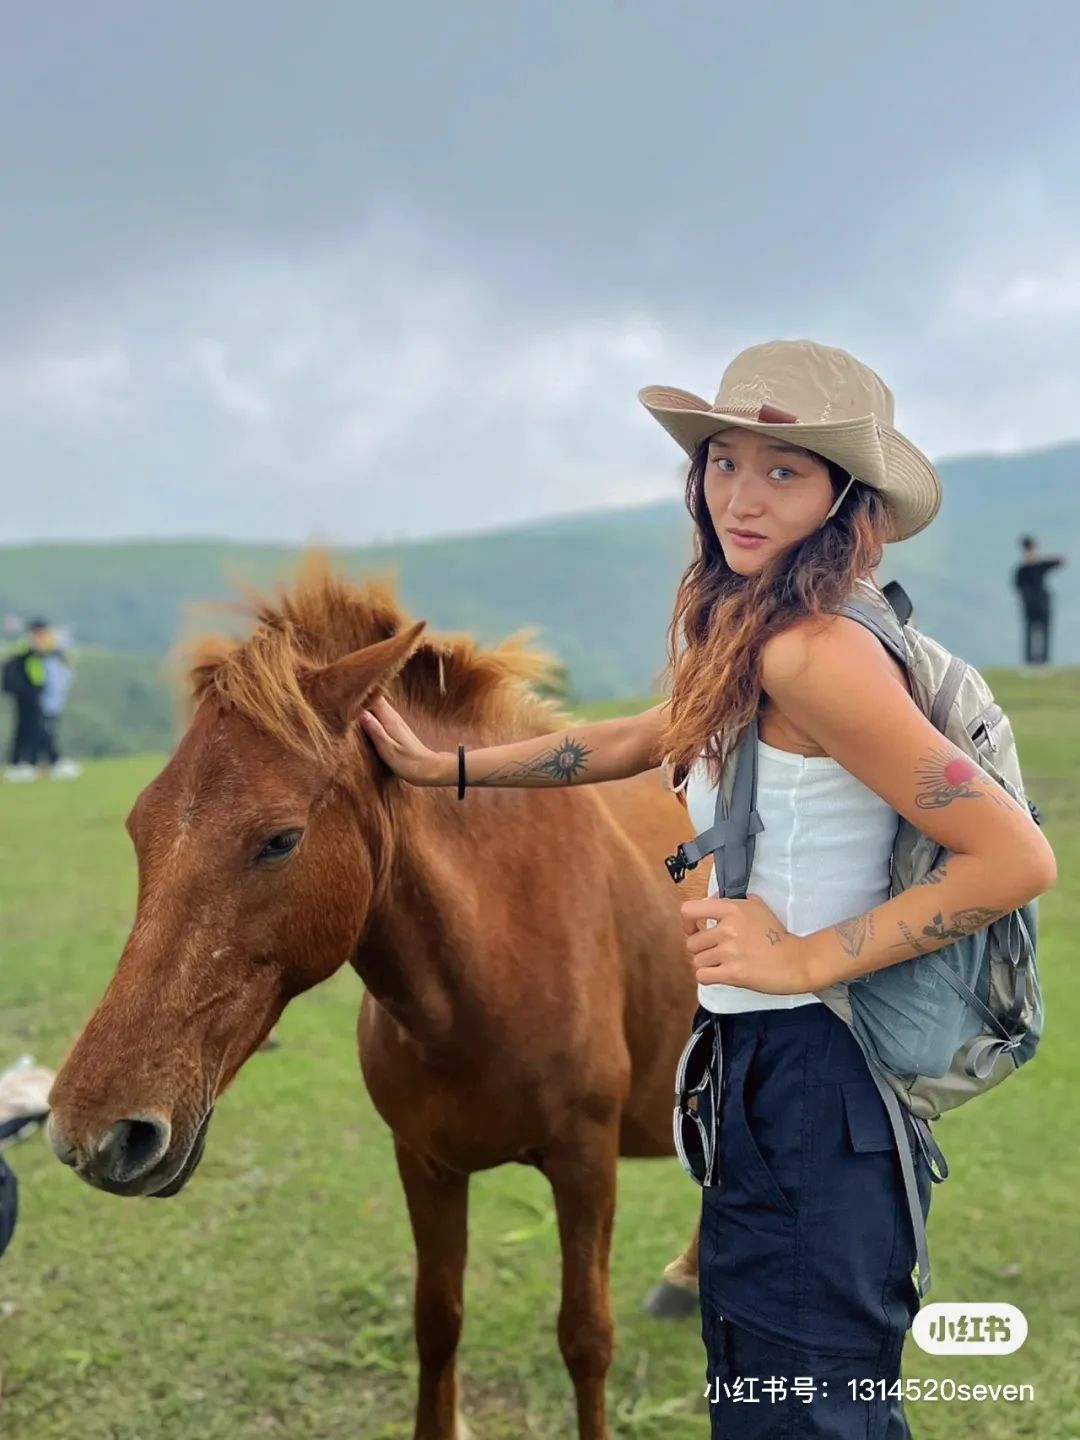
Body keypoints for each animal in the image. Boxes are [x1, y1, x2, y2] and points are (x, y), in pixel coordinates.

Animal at [50, 552, 705, 1440]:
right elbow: (437, 1321)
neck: (497, 952)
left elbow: (585, 1338)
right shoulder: (424, 1162)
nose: (94, 1134)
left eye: (280, 839)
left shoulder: (585, 1165)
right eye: (137, 828)